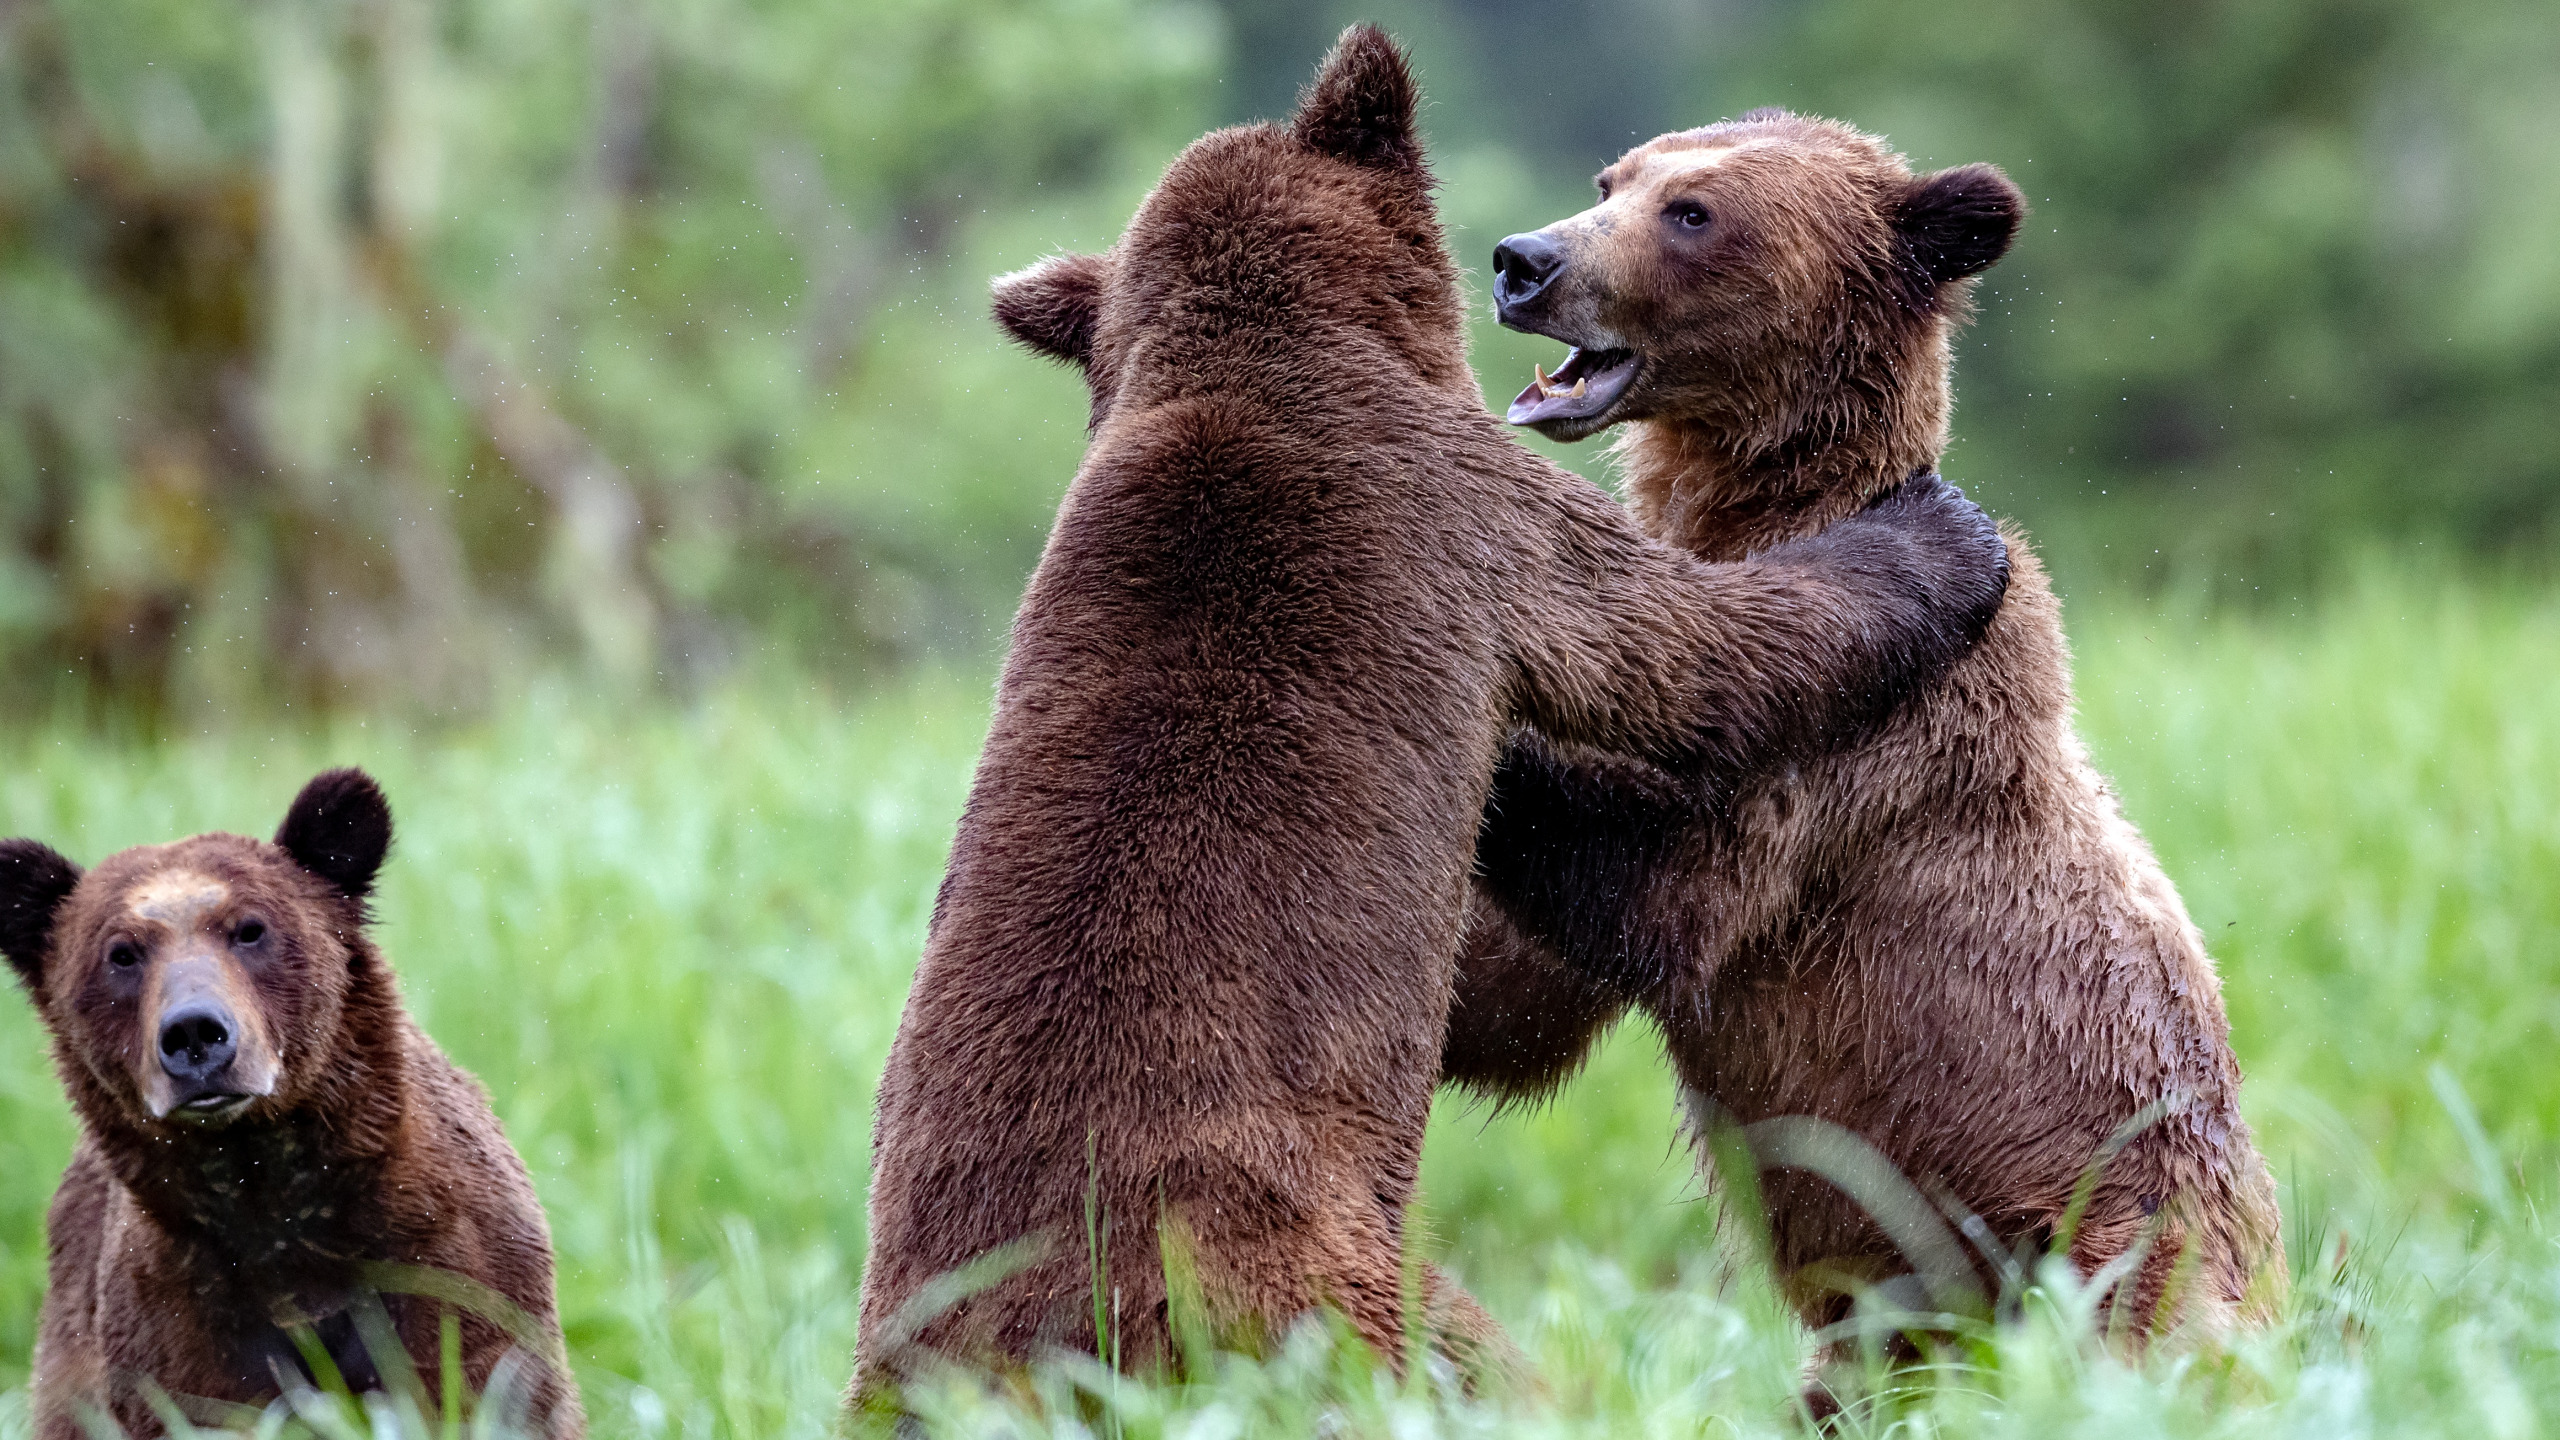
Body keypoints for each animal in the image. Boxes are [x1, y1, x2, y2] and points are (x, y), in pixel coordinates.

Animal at [0, 773, 581, 1434]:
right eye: (121, 953)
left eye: (250, 928)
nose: (195, 1033)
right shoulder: (179, 1316)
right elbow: (198, 1406)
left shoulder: (448, 1263)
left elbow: (479, 1385)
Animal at [860, 30, 2017, 1404]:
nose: (1522, 261)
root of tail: (1018, 1347)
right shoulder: (1467, 516)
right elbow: (1687, 643)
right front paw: (1938, 537)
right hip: (1315, 1278)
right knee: (1462, 1361)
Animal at [1454, 112, 2293, 1342]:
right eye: (1613, 180)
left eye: (1693, 212)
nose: (1526, 261)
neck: (1756, 520)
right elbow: (1517, 1004)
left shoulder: (1879, 735)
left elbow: (1674, 895)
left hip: (2107, 1229)